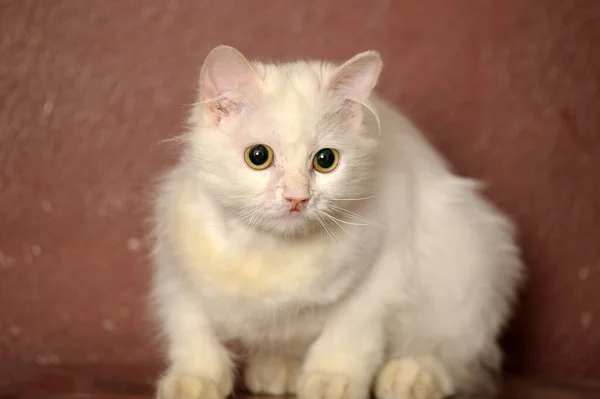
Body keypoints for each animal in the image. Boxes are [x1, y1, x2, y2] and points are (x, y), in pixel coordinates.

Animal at [150, 44, 524, 399]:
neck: (269, 249)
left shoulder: (383, 269)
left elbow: (346, 336)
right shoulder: (178, 277)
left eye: (325, 160)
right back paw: (277, 370)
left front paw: (331, 381)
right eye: (258, 156)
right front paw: (193, 381)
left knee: (451, 356)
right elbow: (194, 336)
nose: (297, 198)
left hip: (471, 266)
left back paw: (411, 377)